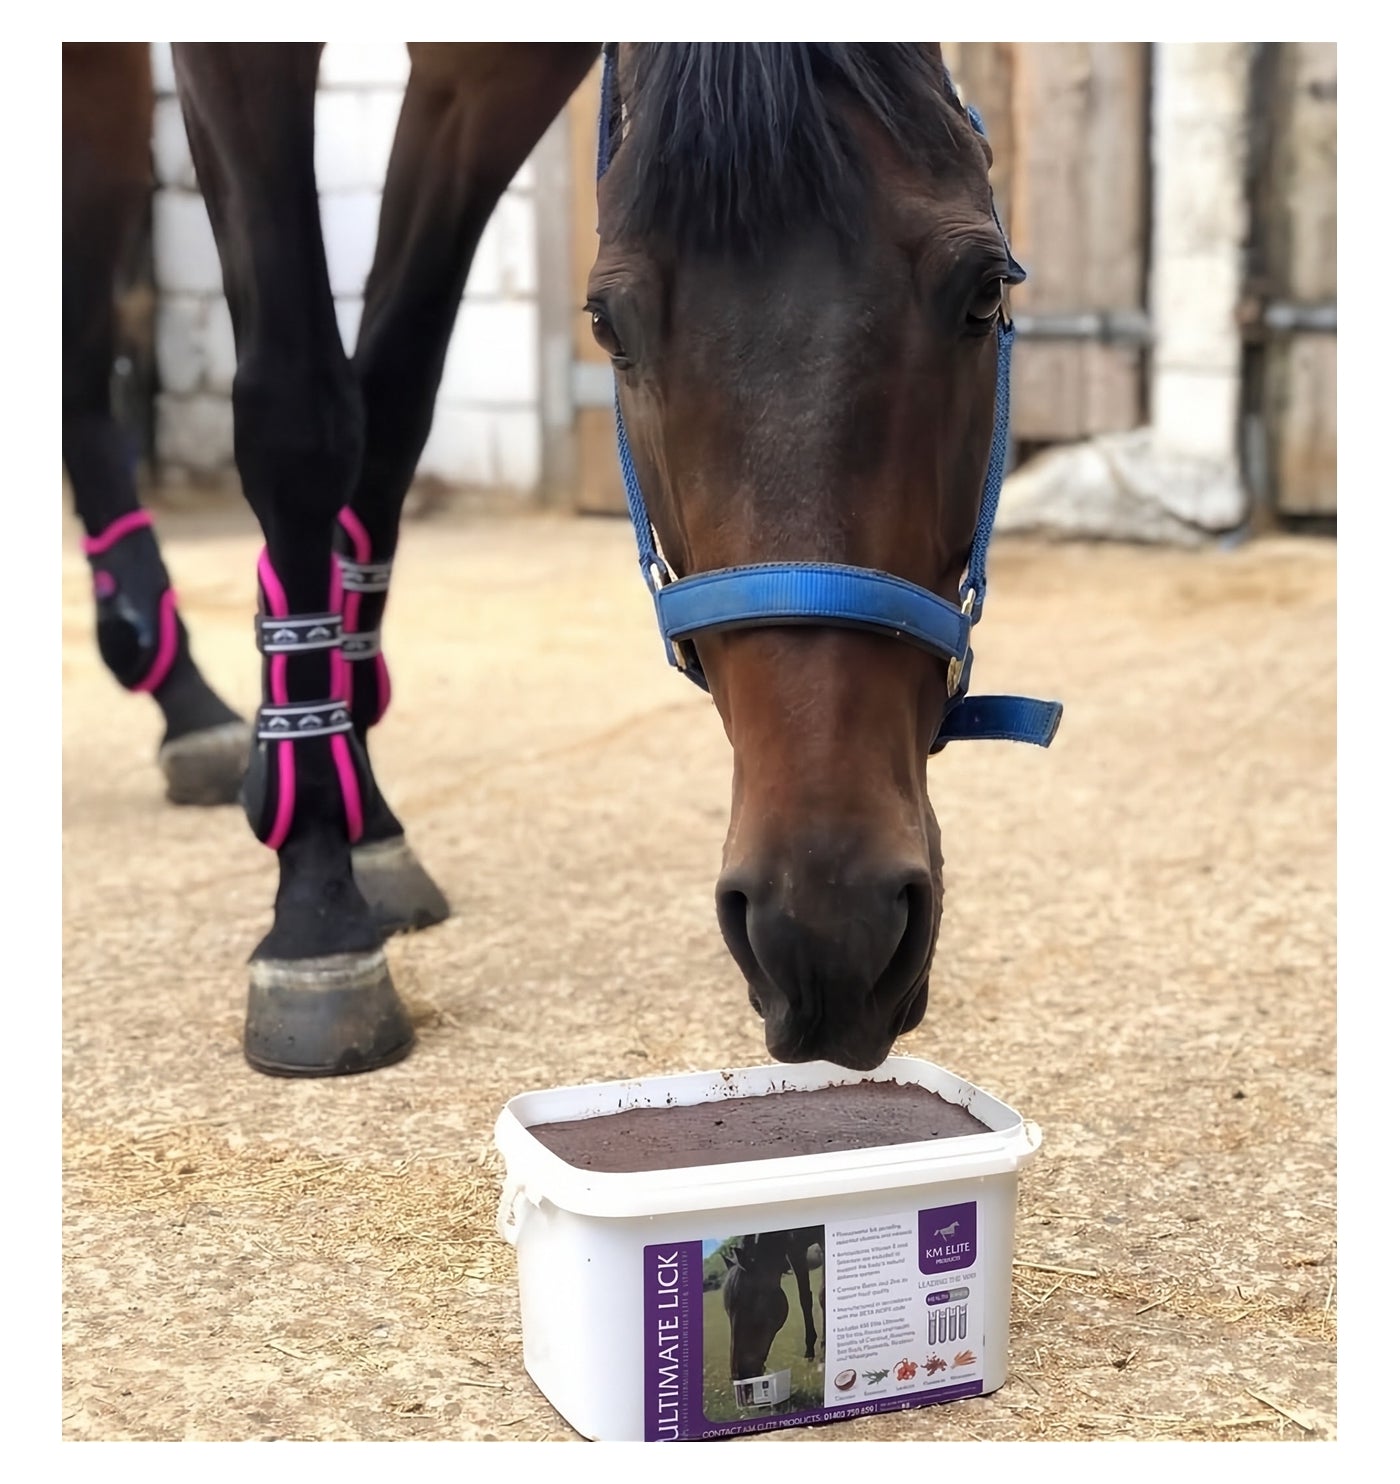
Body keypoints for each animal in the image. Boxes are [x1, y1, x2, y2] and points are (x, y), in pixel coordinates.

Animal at [140, 42, 1059, 1077]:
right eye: (606, 328)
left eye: (984, 293)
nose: (827, 929)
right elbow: (299, 417)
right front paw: (315, 912)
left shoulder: (489, 82)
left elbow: (392, 404)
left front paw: (351, 819)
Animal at [722, 1228, 825, 1381]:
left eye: (748, 1305)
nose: (738, 1376)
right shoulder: (795, 1250)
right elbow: (805, 1299)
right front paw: (810, 1351)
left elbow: (822, 1294)